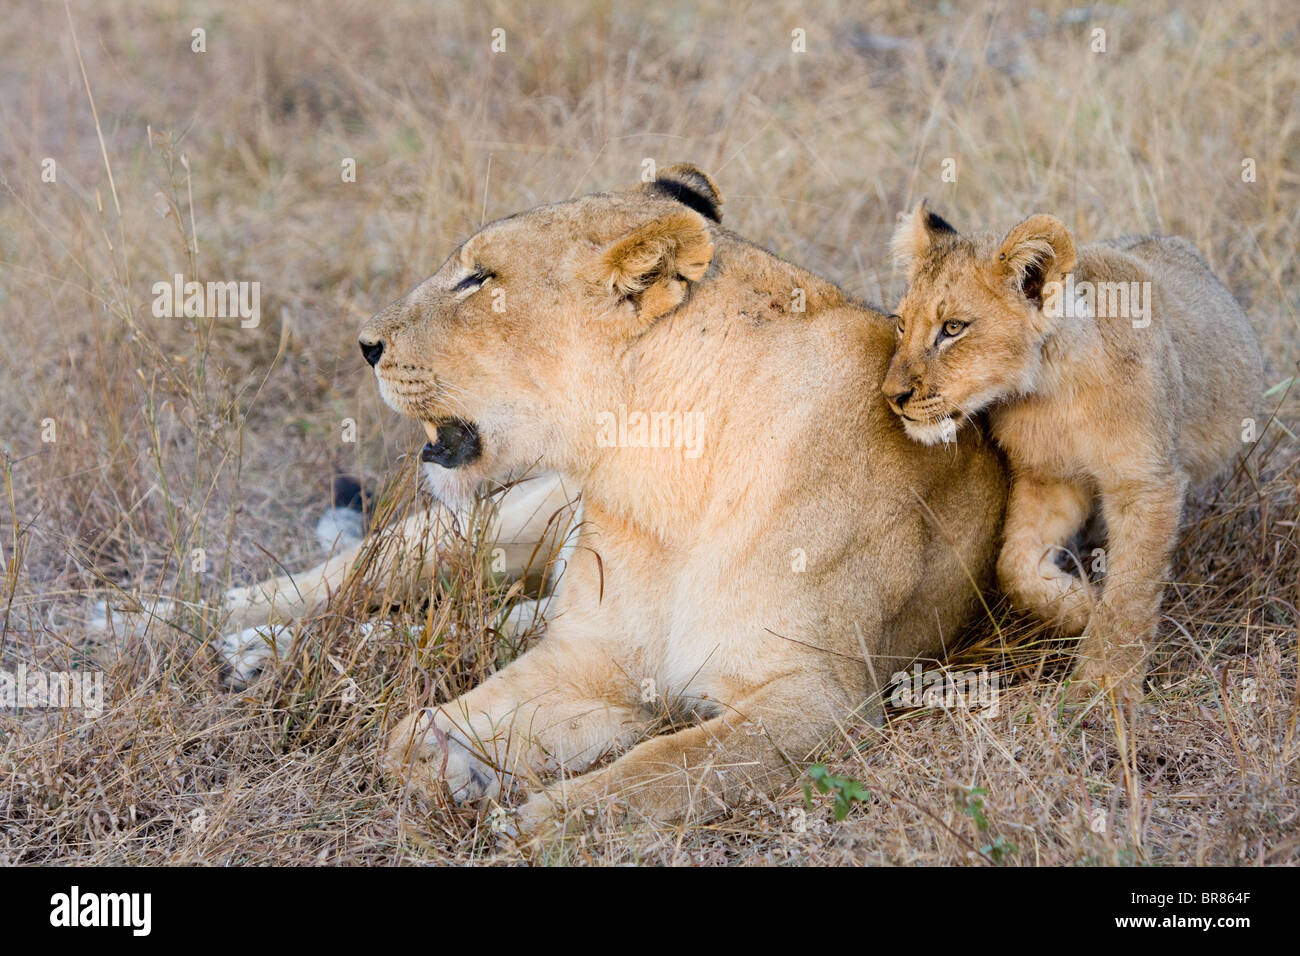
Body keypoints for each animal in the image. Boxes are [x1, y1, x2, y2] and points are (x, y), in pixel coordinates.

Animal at [224, 166, 1007, 839]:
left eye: (478, 279)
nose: (365, 345)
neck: (661, 480)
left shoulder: (819, 699)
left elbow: (664, 767)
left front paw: (534, 819)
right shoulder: (592, 657)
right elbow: (411, 733)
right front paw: (449, 762)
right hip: (505, 523)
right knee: (360, 573)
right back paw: (228, 632)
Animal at [882, 200, 1262, 701]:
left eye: (952, 328)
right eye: (901, 324)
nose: (891, 395)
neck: (1050, 388)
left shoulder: (1147, 483)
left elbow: (1130, 593)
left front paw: (1104, 687)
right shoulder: (1051, 477)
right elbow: (1013, 567)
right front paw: (1084, 606)